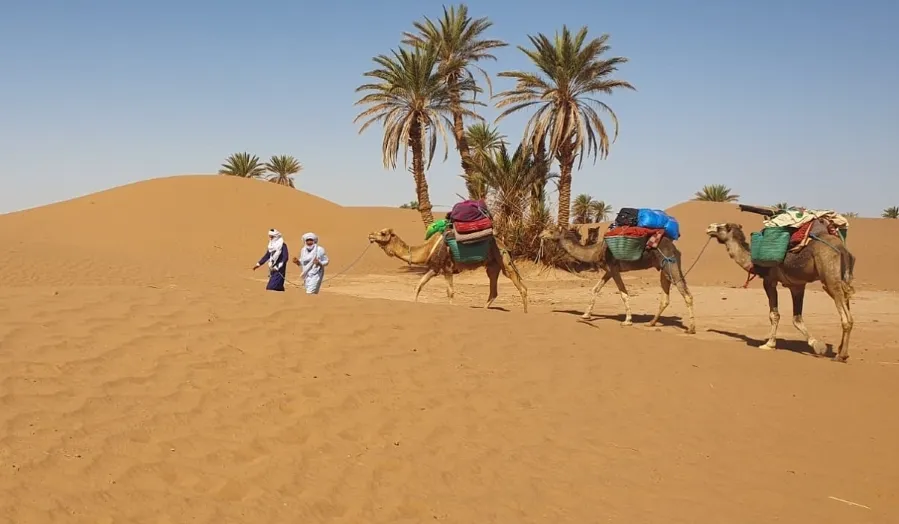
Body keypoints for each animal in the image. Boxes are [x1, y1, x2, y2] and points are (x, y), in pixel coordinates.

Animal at [367, 228, 528, 312]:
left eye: (382, 233)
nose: (370, 234)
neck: (427, 249)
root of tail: (503, 243)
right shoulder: (435, 268)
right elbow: (419, 285)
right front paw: (414, 303)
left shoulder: (447, 268)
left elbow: (450, 292)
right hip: (492, 265)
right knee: (493, 289)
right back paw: (484, 309)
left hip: (503, 260)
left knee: (520, 285)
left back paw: (525, 312)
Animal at [539, 227, 696, 334]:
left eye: (551, 230)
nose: (541, 234)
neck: (596, 251)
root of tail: (675, 249)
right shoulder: (609, 270)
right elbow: (595, 289)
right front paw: (586, 315)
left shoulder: (614, 269)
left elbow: (623, 293)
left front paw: (627, 321)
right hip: (663, 269)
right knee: (665, 298)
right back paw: (650, 323)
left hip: (670, 264)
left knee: (686, 294)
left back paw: (691, 329)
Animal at [706, 222, 855, 361]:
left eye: (722, 226)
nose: (709, 227)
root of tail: (842, 249)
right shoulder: (797, 286)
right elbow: (797, 319)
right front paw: (816, 344)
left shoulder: (769, 280)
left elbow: (774, 315)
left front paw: (769, 344)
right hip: (844, 278)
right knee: (848, 306)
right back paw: (842, 352)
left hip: (830, 277)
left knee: (846, 318)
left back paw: (841, 355)